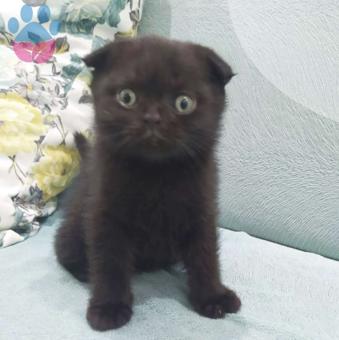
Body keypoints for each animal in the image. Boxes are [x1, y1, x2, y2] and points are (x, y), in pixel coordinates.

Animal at [55, 35, 242, 330]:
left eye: (184, 103)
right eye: (127, 97)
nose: (153, 118)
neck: (157, 173)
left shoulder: (202, 211)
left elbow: (205, 256)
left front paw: (213, 296)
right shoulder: (105, 215)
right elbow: (109, 262)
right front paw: (109, 307)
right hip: (74, 230)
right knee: (65, 252)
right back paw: (84, 271)